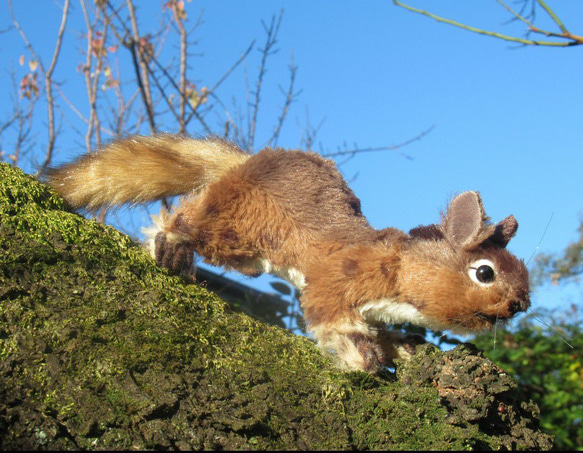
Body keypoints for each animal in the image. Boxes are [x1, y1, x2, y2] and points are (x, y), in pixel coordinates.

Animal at [44, 133, 528, 370]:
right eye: (484, 272)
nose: (520, 304)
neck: (396, 270)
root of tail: (245, 162)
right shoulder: (338, 277)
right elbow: (331, 317)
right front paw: (362, 355)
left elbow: (385, 331)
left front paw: (403, 346)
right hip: (234, 229)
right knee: (184, 217)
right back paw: (169, 250)